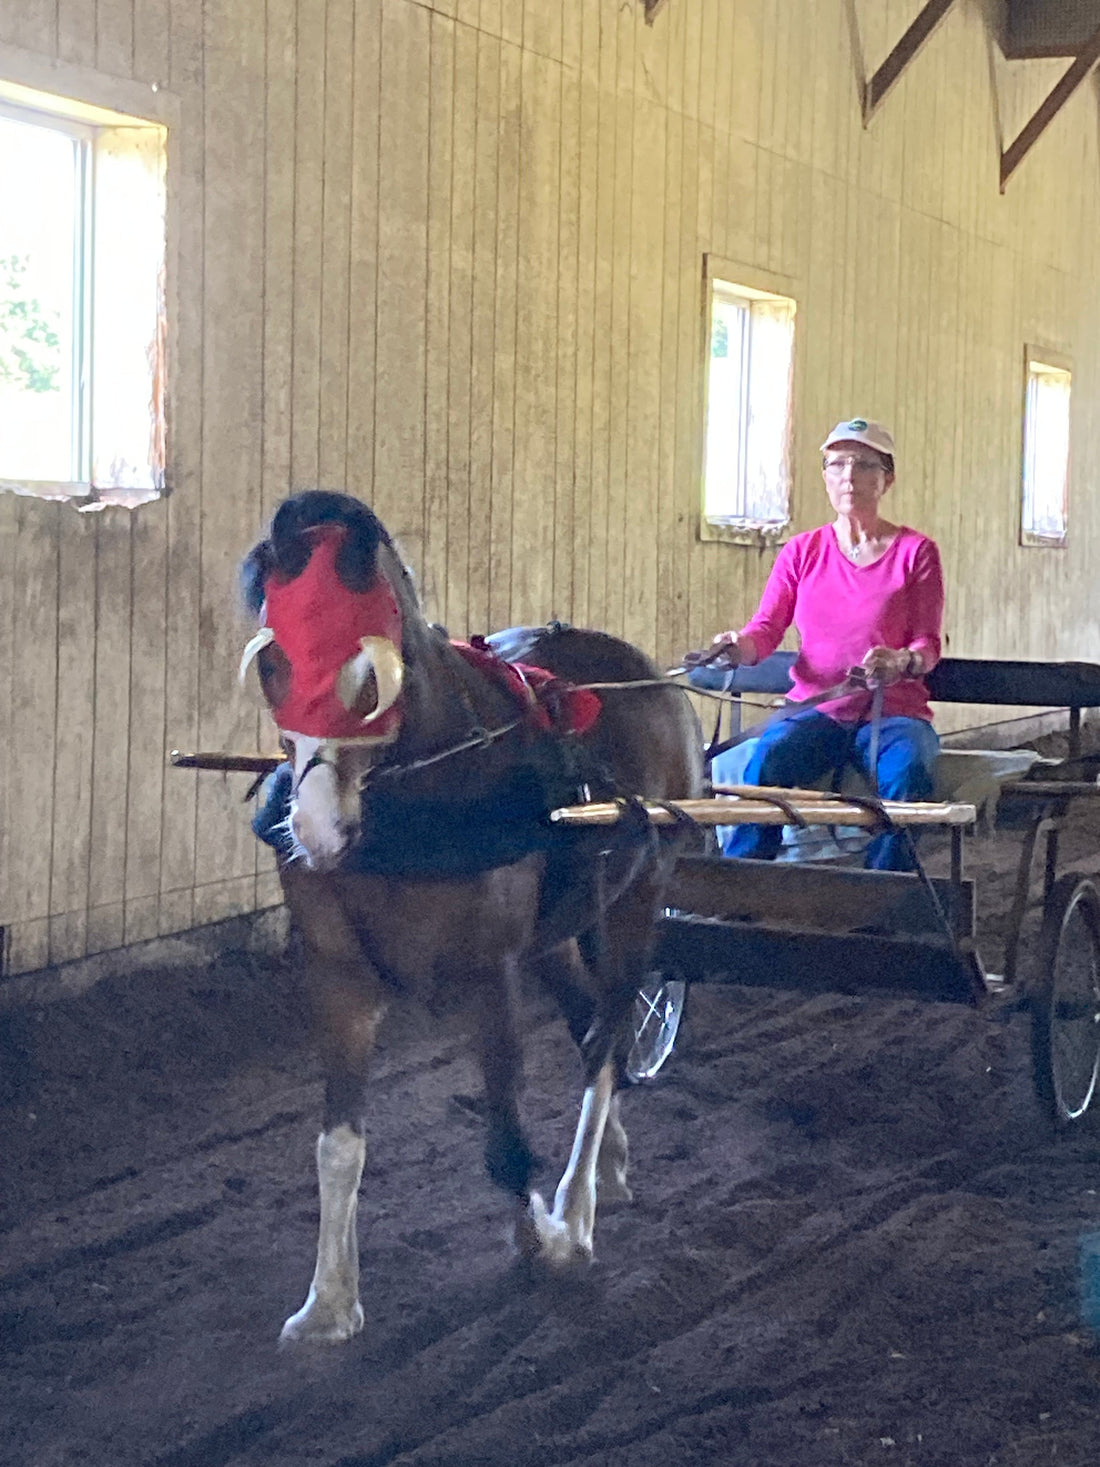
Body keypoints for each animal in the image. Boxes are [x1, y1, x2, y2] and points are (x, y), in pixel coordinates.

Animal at [240, 490, 704, 1345]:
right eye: (270, 658)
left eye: (372, 669)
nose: (316, 831)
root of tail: (649, 674)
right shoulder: (339, 977)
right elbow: (337, 1147)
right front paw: (329, 1303)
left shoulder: (489, 975)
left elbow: (504, 1139)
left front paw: (543, 1238)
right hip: (558, 930)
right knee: (592, 1022)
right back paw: (610, 1162)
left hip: (639, 895)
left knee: (608, 1040)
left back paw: (578, 1207)